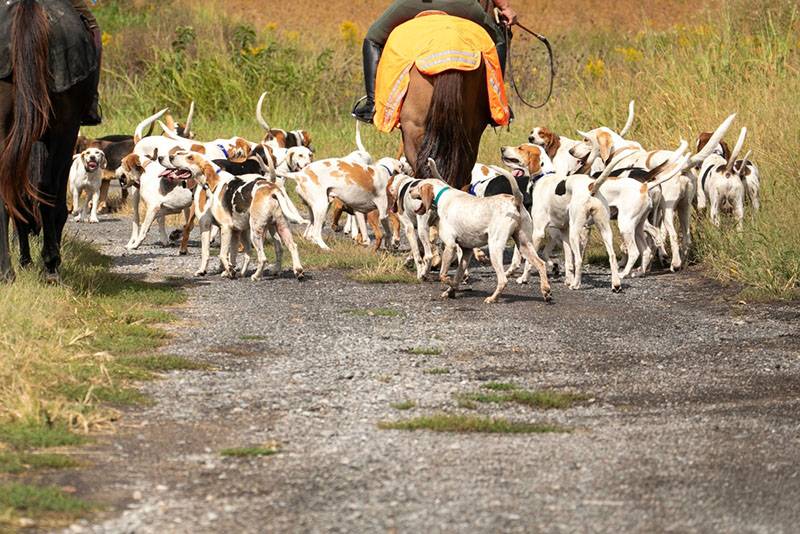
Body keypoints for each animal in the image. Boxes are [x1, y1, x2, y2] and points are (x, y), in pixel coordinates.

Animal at [412, 158, 552, 306]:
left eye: (418, 186)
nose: (409, 191)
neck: (443, 196)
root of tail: (515, 200)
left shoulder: (450, 246)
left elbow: (443, 275)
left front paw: (451, 285)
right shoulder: (466, 251)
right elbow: (458, 275)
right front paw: (451, 291)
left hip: (494, 248)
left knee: (503, 280)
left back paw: (493, 298)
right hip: (524, 245)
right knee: (541, 264)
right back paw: (545, 291)